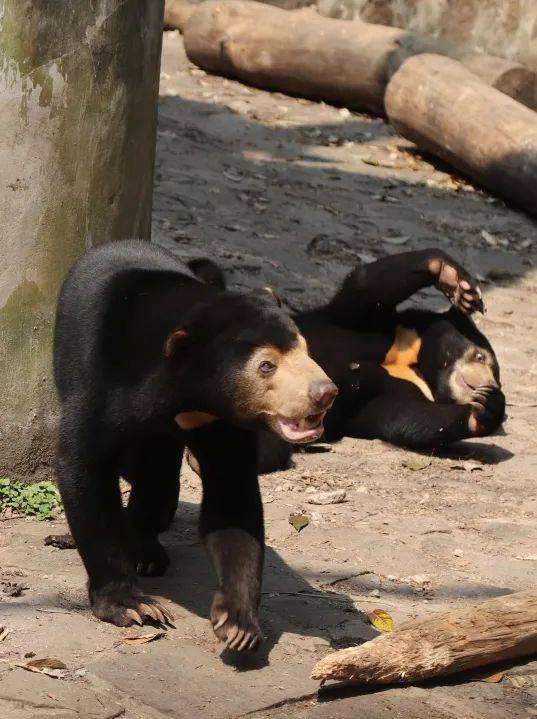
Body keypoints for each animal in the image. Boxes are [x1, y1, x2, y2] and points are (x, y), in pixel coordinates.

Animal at [53, 242, 336, 652]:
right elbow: (83, 468)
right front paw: (132, 605)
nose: (325, 393)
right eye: (266, 365)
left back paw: (146, 553)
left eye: (305, 349)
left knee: (157, 482)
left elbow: (232, 497)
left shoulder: (221, 425)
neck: (187, 398)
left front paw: (237, 623)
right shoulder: (101, 383)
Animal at [189, 248, 506, 472]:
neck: (414, 363)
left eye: (497, 378)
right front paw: (455, 280)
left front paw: (487, 409)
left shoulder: (387, 395)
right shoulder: (373, 324)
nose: (489, 385)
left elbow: (405, 418)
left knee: (268, 450)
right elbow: (367, 287)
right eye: (481, 356)